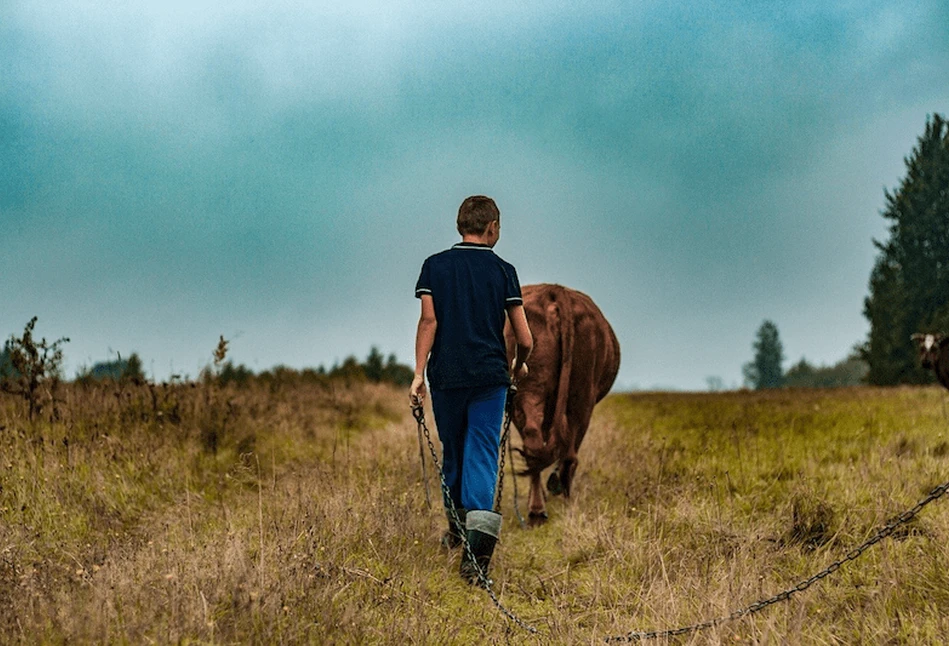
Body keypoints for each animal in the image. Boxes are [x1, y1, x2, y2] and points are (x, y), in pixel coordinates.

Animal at [504, 284, 624, 528]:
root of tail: (554, 291)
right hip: (581, 396)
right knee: (564, 451)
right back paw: (556, 500)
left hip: (539, 392)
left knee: (539, 443)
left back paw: (540, 508)